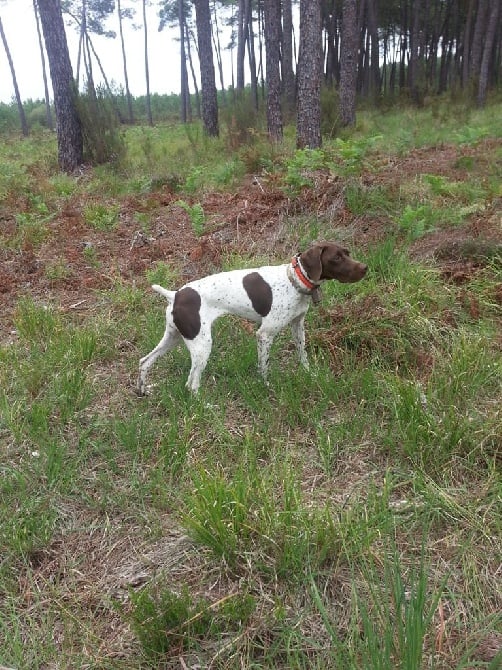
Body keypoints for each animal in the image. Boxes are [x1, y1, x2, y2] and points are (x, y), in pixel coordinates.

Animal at [135, 244, 366, 396]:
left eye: (347, 253)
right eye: (336, 258)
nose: (365, 268)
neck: (294, 280)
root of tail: (174, 295)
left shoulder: (298, 326)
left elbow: (303, 356)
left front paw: (311, 375)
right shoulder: (264, 335)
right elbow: (264, 367)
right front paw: (266, 387)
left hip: (174, 337)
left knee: (144, 361)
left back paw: (144, 390)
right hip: (202, 346)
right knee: (191, 385)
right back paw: (207, 406)